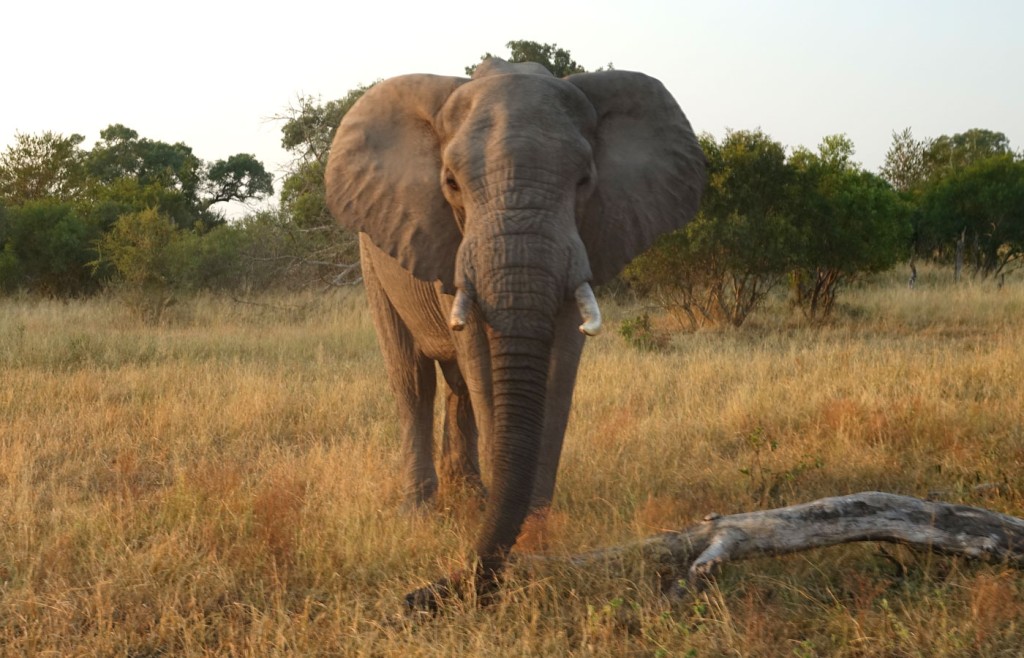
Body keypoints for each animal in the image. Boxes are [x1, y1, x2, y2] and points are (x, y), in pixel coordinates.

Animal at [325, 56, 704, 605]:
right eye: (451, 183)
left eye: (585, 180)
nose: (419, 596)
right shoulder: (450, 236)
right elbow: (479, 358)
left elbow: (561, 364)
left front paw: (536, 531)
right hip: (371, 254)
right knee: (411, 377)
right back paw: (421, 512)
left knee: (455, 384)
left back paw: (469, 497)